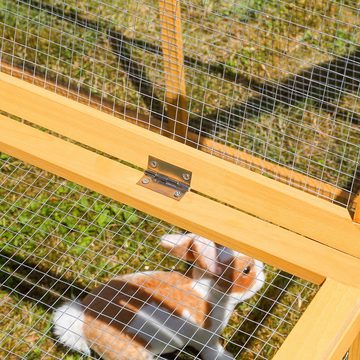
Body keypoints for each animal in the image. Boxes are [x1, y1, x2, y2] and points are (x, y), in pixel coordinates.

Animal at [52, 235, 264, 358]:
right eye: (246, 270)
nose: (263, 270)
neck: (206, 291)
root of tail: (82, 320)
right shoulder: (207, 340)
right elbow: (213, 352)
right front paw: (227, 356)